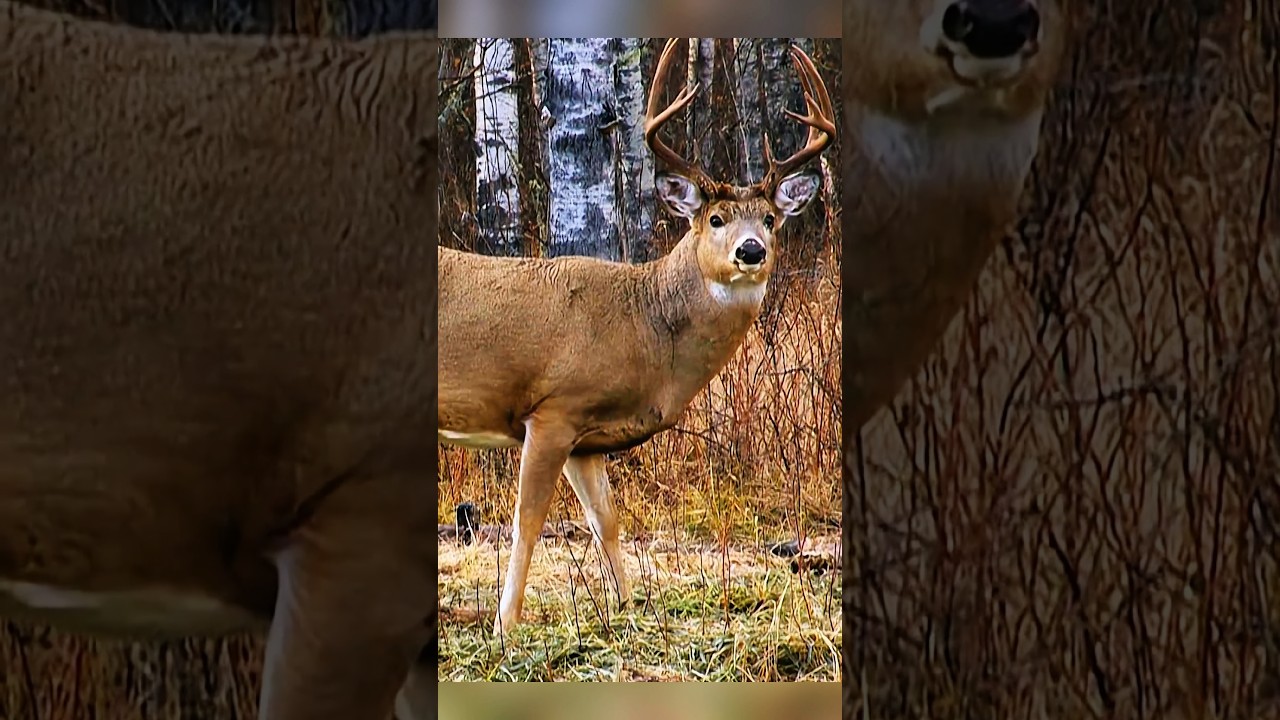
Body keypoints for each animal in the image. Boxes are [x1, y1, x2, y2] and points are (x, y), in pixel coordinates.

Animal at [438, 37, 836, 635]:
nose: (751, 251)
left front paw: (627, 607)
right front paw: (506, 626)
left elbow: (605, 521)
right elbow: (527, 521)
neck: (642, 323)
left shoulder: (586, 438)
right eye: (716, 219)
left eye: (769, 218)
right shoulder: (554, 409)